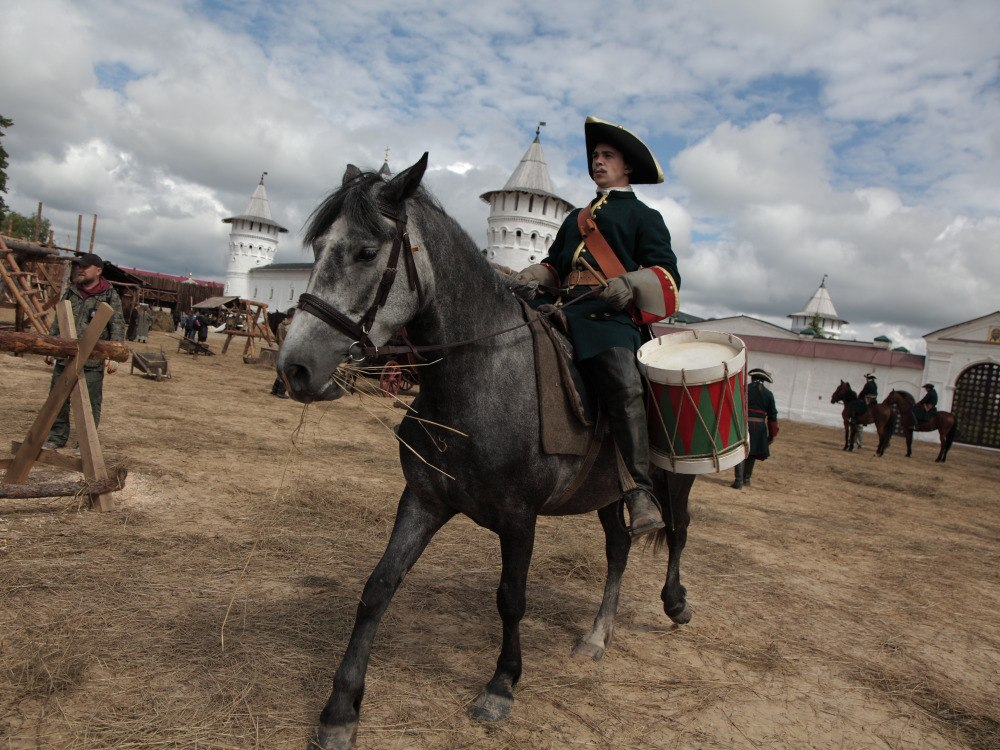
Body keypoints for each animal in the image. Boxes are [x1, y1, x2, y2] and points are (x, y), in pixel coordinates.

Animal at [274, 156, 696, 748]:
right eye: (315, 248)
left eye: (365, 251)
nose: (295, 367)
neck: (482, 375)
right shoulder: (424, 500)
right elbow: (379, 587)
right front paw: (340, 710)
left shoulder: (520, 517)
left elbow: (511, 597)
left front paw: (501, 685)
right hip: (612, 491)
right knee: (619, 547)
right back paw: (597, 635)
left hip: (675, 477)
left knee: (676, 530)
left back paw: (675, 602)